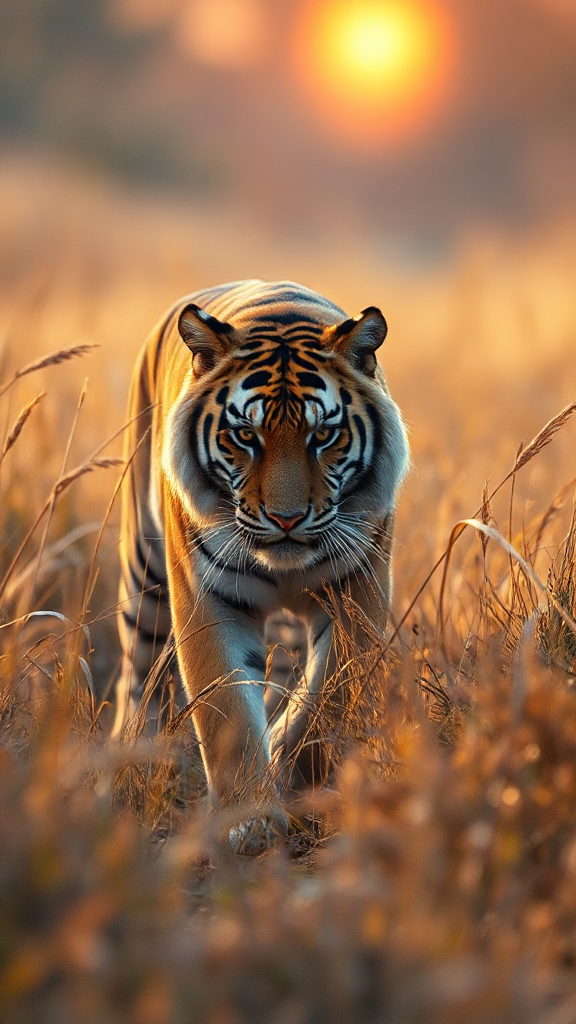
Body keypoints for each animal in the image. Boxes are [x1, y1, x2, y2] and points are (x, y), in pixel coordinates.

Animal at [112, 279, 409, 854]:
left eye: (324, 436)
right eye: (246, 436)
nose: (286, 518)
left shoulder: (357, 591)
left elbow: (325, 701)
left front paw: (290, 776)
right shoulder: (207, 600)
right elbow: (227, 712)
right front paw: (248, 823)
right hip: (144, 578)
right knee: (137, 679)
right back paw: (129, 760)